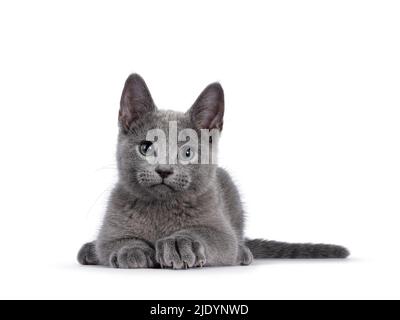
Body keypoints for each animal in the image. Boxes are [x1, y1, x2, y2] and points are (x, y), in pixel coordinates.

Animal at [76, 74, 348, 268]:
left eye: (187, 152)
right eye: (145, 147)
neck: (161, 212)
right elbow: (112, 242)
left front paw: (179, 243)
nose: (164, 170)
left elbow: (212, 236)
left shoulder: (220, 231)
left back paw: (244, 253)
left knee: (239, 240)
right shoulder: (111, 228)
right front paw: (131, 250)